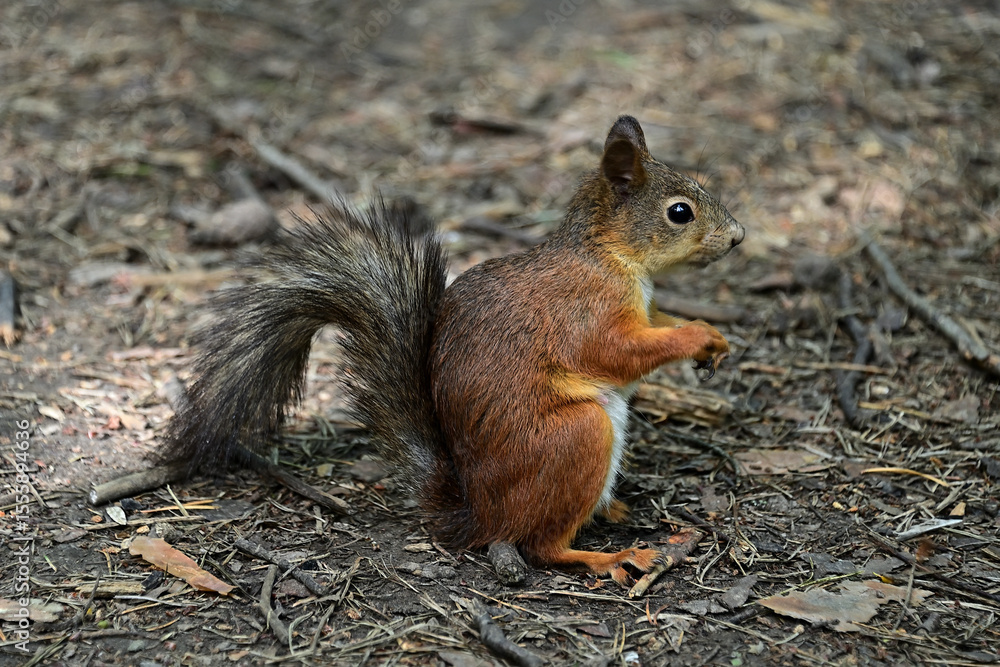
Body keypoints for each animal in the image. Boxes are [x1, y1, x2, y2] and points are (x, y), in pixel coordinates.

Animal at [162, 115, 745, 585]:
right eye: (680, 212)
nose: (738, 237)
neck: (609, 255)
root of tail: (477, 516)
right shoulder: (587, 313)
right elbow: (619, 352)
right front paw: (696, 337)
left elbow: (658, 324)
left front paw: (714, 339)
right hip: (575, 437)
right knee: (540, 546)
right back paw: (604, 557)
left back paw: (613, 510)